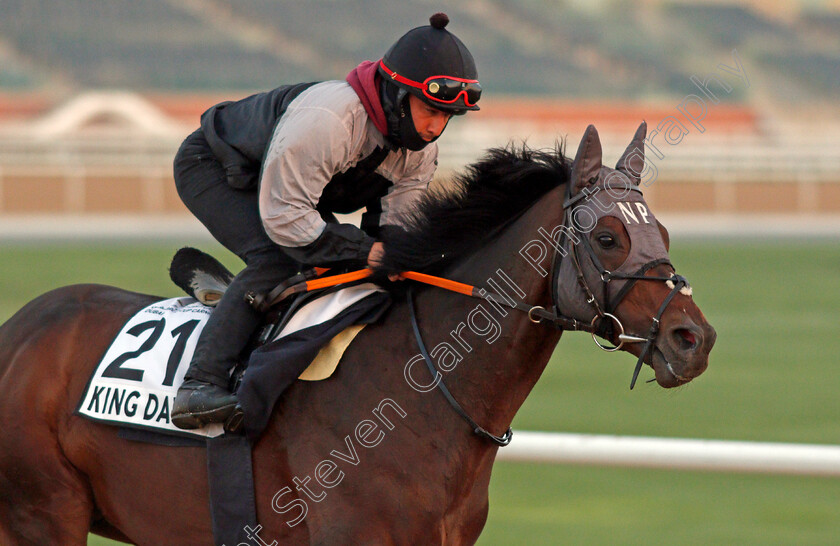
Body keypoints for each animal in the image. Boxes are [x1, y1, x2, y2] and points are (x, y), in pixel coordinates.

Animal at [0, 124, 716, 544]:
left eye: (662, 234)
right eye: (608, 237)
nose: (694, 339)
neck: (420, 394)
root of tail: (19, 331)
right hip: (42, 514)